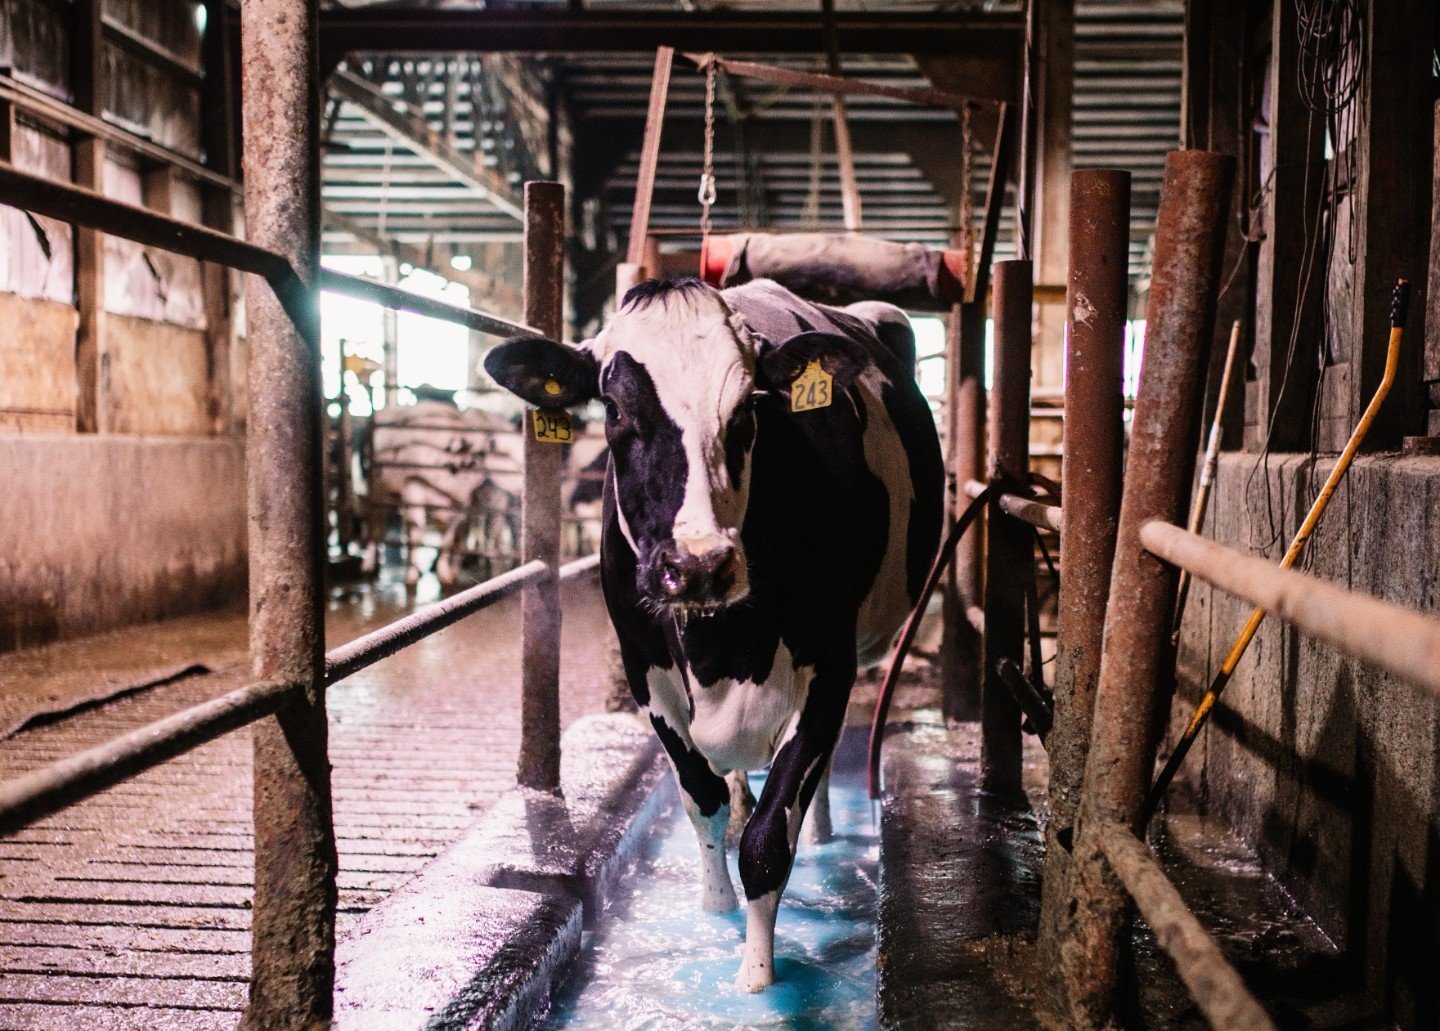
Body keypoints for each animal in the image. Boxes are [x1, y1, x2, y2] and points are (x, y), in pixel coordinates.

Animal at [483, 276, 944, 990]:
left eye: (749, 410)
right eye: (614, 409)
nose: (699, 564)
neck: (723, 648)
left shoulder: (829, 668)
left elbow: (767, 840)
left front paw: (756, 978)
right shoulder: (645, 670)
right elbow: (703, 800)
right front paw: (715, 910)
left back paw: (822, 834)